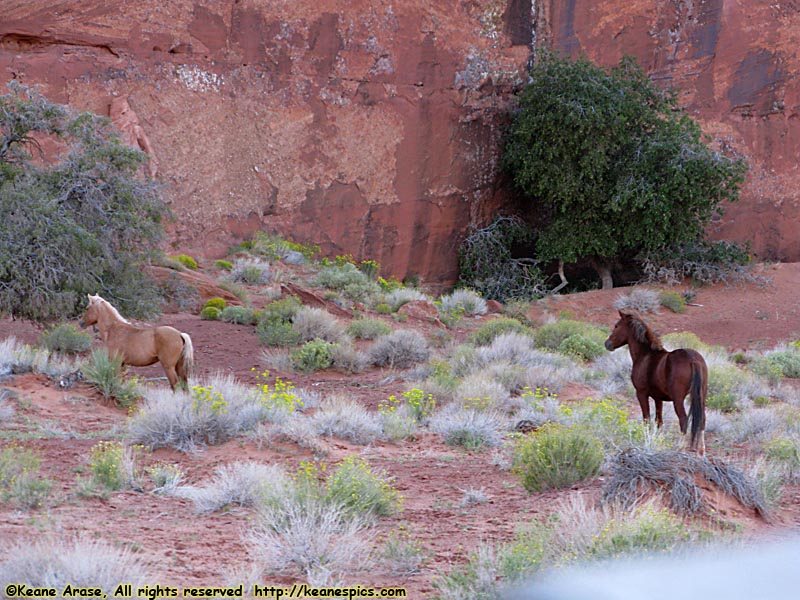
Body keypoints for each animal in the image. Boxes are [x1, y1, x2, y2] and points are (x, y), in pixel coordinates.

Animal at [604, 310, 708, 454]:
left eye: (616, 326)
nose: (607, 344)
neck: (645, 355)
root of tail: (693, 359)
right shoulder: (658, 398)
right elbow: (659, 421)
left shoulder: (641, 394)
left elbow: (646, 419)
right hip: (701, 396)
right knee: (702, 420)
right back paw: (702, 451)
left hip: (678, 399)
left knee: (683, 420)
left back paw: (679, 448)